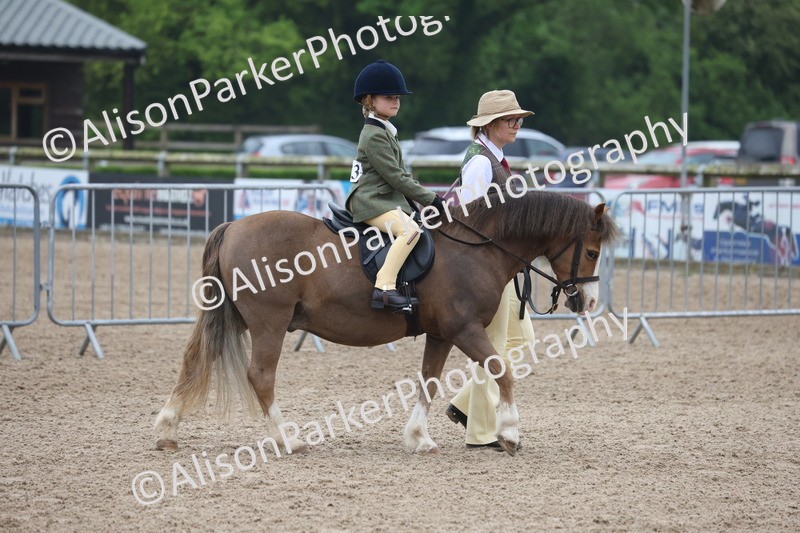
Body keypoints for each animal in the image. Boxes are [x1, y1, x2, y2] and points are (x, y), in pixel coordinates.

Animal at [154, 190, 619, 456]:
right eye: (592, 252)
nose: (590, 301)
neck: (477, 248)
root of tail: (234, 225)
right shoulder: (465, 330)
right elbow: (501, 371)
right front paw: (509, 434)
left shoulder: (441, 334)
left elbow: (428, 380)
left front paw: (418, 437)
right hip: (269, 324)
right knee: (261, 376)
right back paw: (289, 439)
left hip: (236, 319)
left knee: (196, 361)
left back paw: (167, 429)